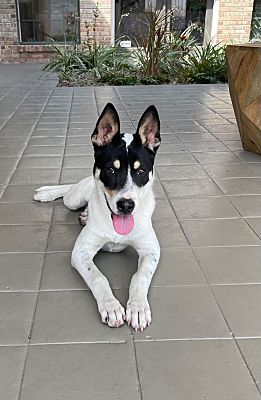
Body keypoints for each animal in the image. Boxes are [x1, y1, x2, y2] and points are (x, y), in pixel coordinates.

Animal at [34, 103, 160, 332]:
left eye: (141, 172)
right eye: (111, 169)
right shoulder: (81, 252)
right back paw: (47, 194)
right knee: (69, 190)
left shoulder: (151, 250)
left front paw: (138, 308)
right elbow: (98, 277)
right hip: (73, 199)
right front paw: (111, 307)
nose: (126, 206)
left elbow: (140, 277)